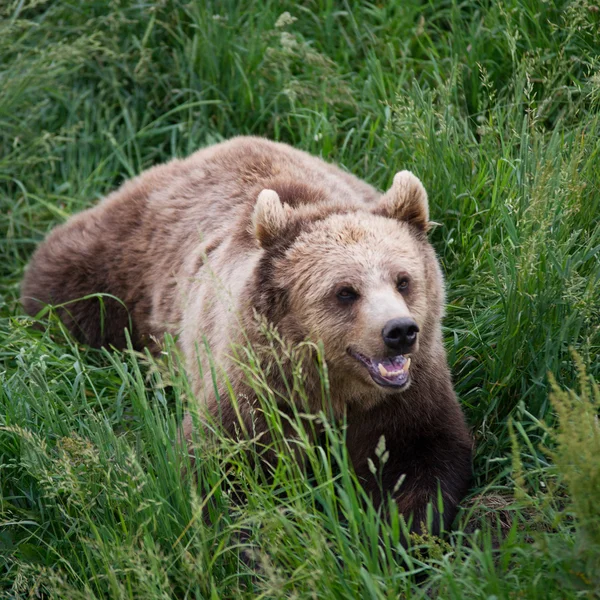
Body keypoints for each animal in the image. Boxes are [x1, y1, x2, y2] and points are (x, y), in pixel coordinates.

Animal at [22, 137, 474, 536]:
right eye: (345, 291)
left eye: (403, 280)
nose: (399, 331)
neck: (330, 387)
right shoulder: (252, 392)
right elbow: (220, 474)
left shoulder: (406, 398)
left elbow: (424, 461)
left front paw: (396, 533)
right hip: (116, 265)